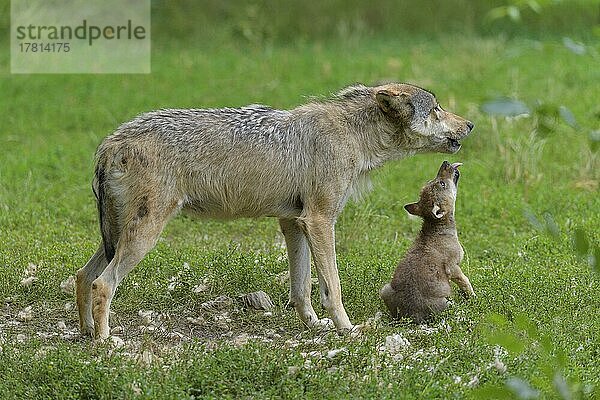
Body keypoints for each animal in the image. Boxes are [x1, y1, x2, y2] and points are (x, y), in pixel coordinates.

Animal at [77, 83, 476, 340]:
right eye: (437, 109)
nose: (471, 124)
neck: (353, 135)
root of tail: (111, 142)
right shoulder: (320, 222)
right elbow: (332, 288)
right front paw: (348, 330)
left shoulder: (293, 223)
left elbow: (301, 289)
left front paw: (314, 327)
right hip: (143, 235)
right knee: (102, 283)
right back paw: (105, 341)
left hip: (118, 236)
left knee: (83, 276)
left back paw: (86, 333)